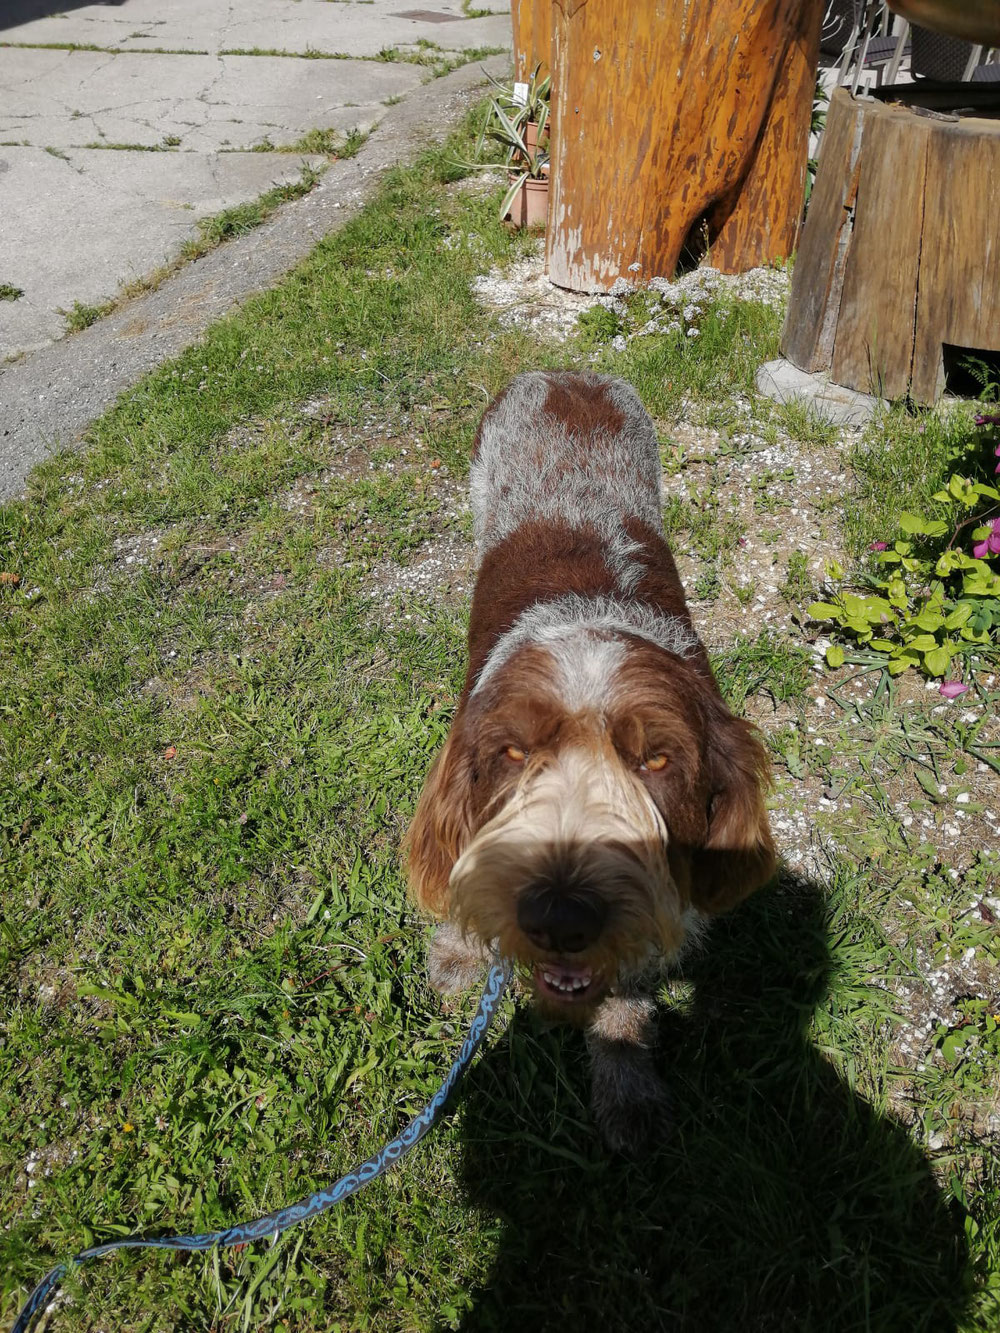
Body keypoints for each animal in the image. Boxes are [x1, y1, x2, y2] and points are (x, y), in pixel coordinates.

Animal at [405, 370, 773, 1151]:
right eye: (513, 752)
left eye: (656, 760)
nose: (559, 915)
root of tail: (565, 372)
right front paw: (459, 950)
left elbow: (624, 994)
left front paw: (626, 1081)